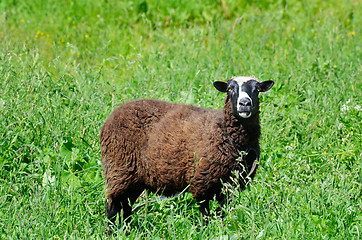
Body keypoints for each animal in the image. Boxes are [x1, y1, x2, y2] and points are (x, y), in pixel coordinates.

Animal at [99, 76, 274, 226]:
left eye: (257, 89)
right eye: (230, 89)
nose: (244, 103)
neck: (224, 130)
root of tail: (113, 115)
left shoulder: (231, 185)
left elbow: (221, 212)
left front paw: (220, 228)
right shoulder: (203, 180)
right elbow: (205, 213)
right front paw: (205, 230)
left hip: (133, 178)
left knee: (125, 207)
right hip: (119, 169)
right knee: (112, 207)